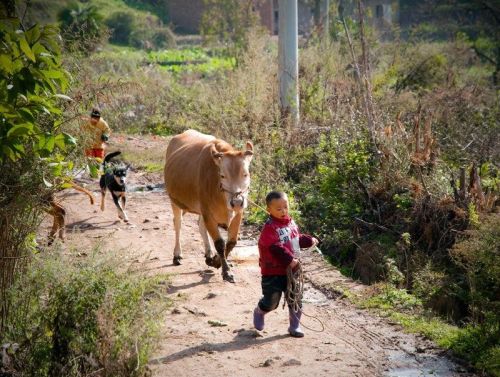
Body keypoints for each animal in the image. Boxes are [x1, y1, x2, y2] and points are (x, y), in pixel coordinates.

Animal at [165, 130, 254, 282]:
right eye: (222, 176)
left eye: (246, 174)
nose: (237, 202)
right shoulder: (208, 213)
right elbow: (220, 243)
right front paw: (225, 271)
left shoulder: (238, 214)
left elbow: (231, 242)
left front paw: (215, 260)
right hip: (175, 201)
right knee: (178, 223)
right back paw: (177, 255)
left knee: (200, 226)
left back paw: (208, 254)